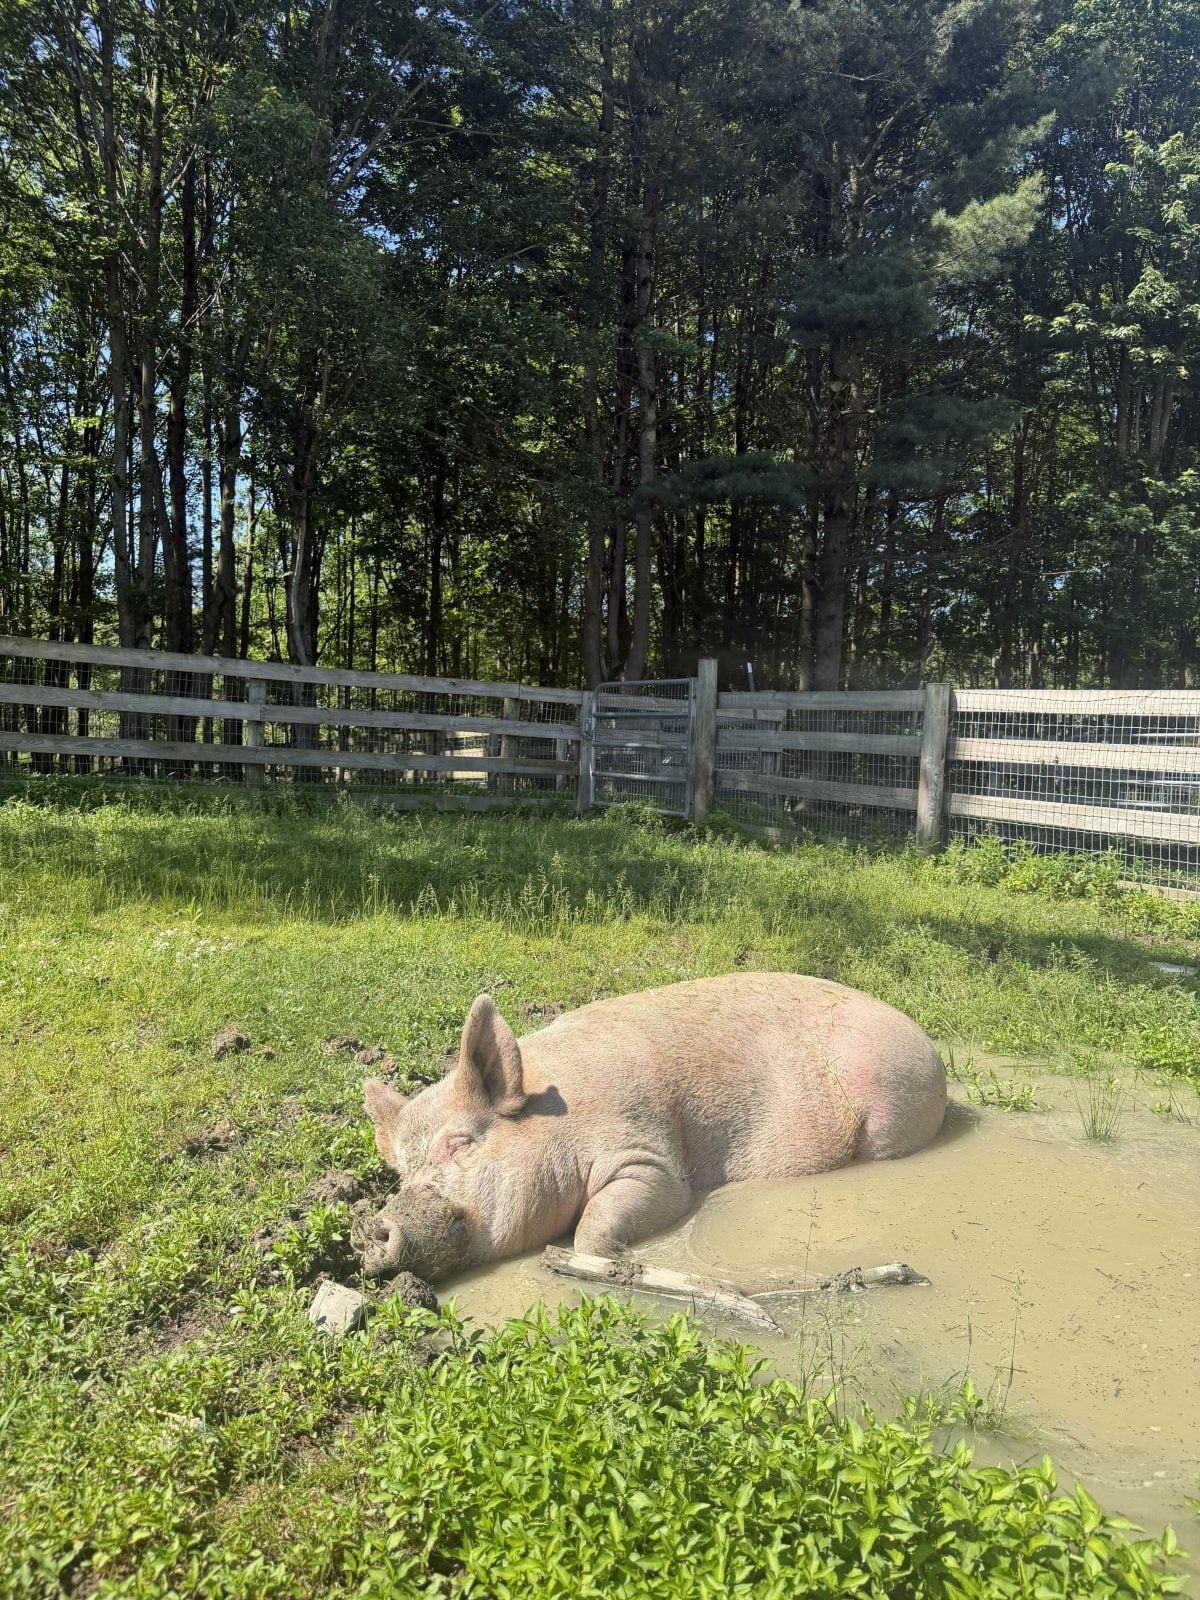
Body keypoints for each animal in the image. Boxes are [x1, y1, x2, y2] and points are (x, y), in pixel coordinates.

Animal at [362, 972, 946, 1280]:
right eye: (401, 1173)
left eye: (459, 1144)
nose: (374, 1225)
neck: (557, 1119)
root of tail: (928, 1046)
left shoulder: (651, 1161)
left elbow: (602, 1220)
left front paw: (610, 1259)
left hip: (889, 1114)